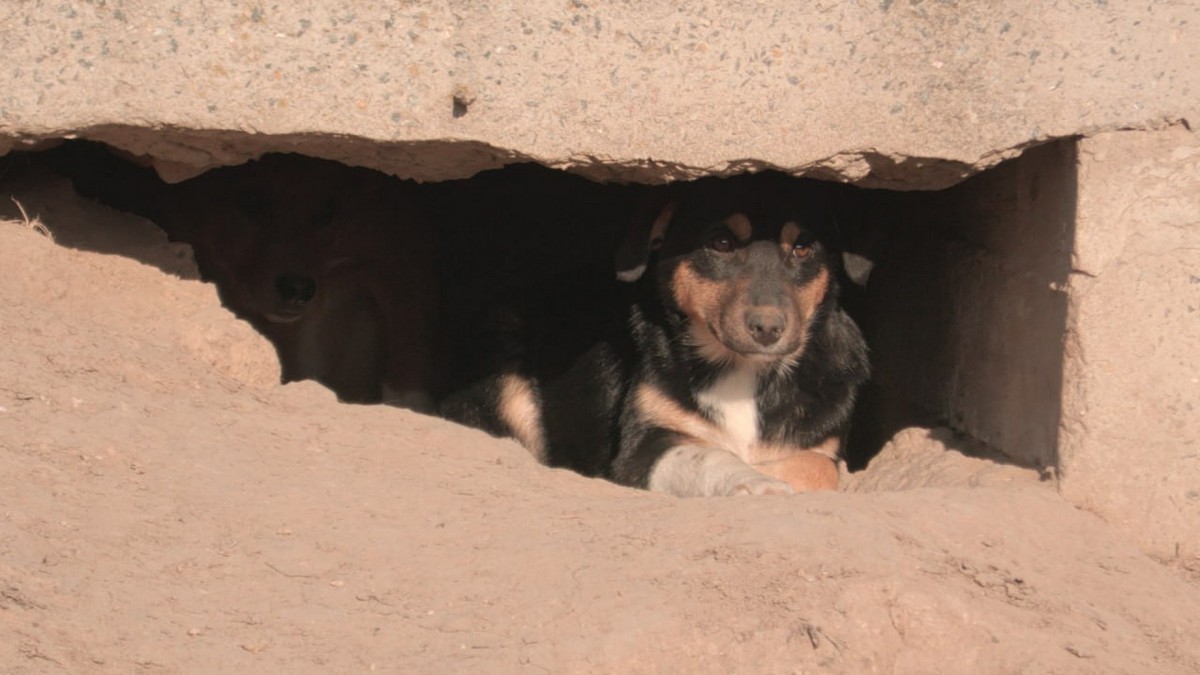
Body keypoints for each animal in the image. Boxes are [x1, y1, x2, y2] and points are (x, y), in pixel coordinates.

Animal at [436, 172, 868, 494]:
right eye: (721, 242)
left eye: (803, 248)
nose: (768, 328)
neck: (743, 373)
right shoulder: (645, 446)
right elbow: (709, 456)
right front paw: (756, 482)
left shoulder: (822, 442)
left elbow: (820, 468)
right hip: (504, 368)